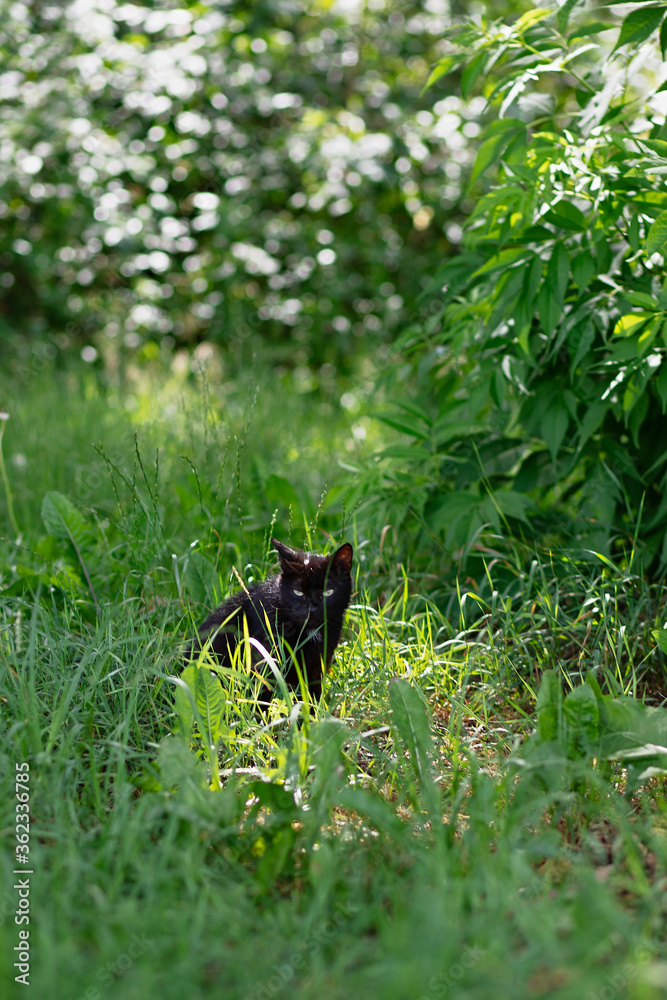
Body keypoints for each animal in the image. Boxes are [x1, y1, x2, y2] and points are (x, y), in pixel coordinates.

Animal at [188, 544, 352, 700]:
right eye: (298, 592)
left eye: (328, 592)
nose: (311, 610)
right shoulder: (264, 659)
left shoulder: (317, 665)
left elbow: (312, 695)